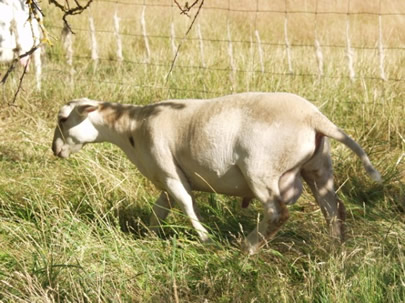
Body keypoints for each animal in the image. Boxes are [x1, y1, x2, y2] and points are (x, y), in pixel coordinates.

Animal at [52, 93, 380, 256]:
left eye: (63, 119)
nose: (55, 150)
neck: (131, 128)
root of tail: (314, 117)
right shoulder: (168, 178)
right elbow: (160, 210)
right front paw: (148, 236)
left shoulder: (170, 172)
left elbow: (187, 205)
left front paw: (206, 239)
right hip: (318, 168)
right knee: (333, 209)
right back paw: (335, 249)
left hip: (260, 170)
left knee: (278, 213)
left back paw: (247, 248)